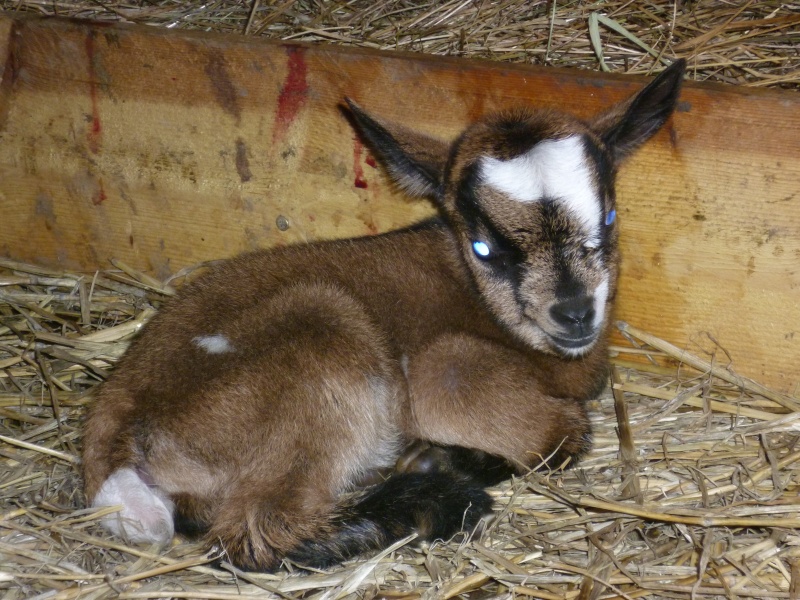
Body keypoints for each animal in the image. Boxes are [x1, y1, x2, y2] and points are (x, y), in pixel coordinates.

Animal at [83, 61, 688, 572]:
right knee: (254, 532)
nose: (574, 313)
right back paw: (436, 495)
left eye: (609, 218)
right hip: (323, 341)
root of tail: (114, 438)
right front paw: (446, 459)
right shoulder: (446, 371)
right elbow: (562, 433)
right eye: (484, 248)